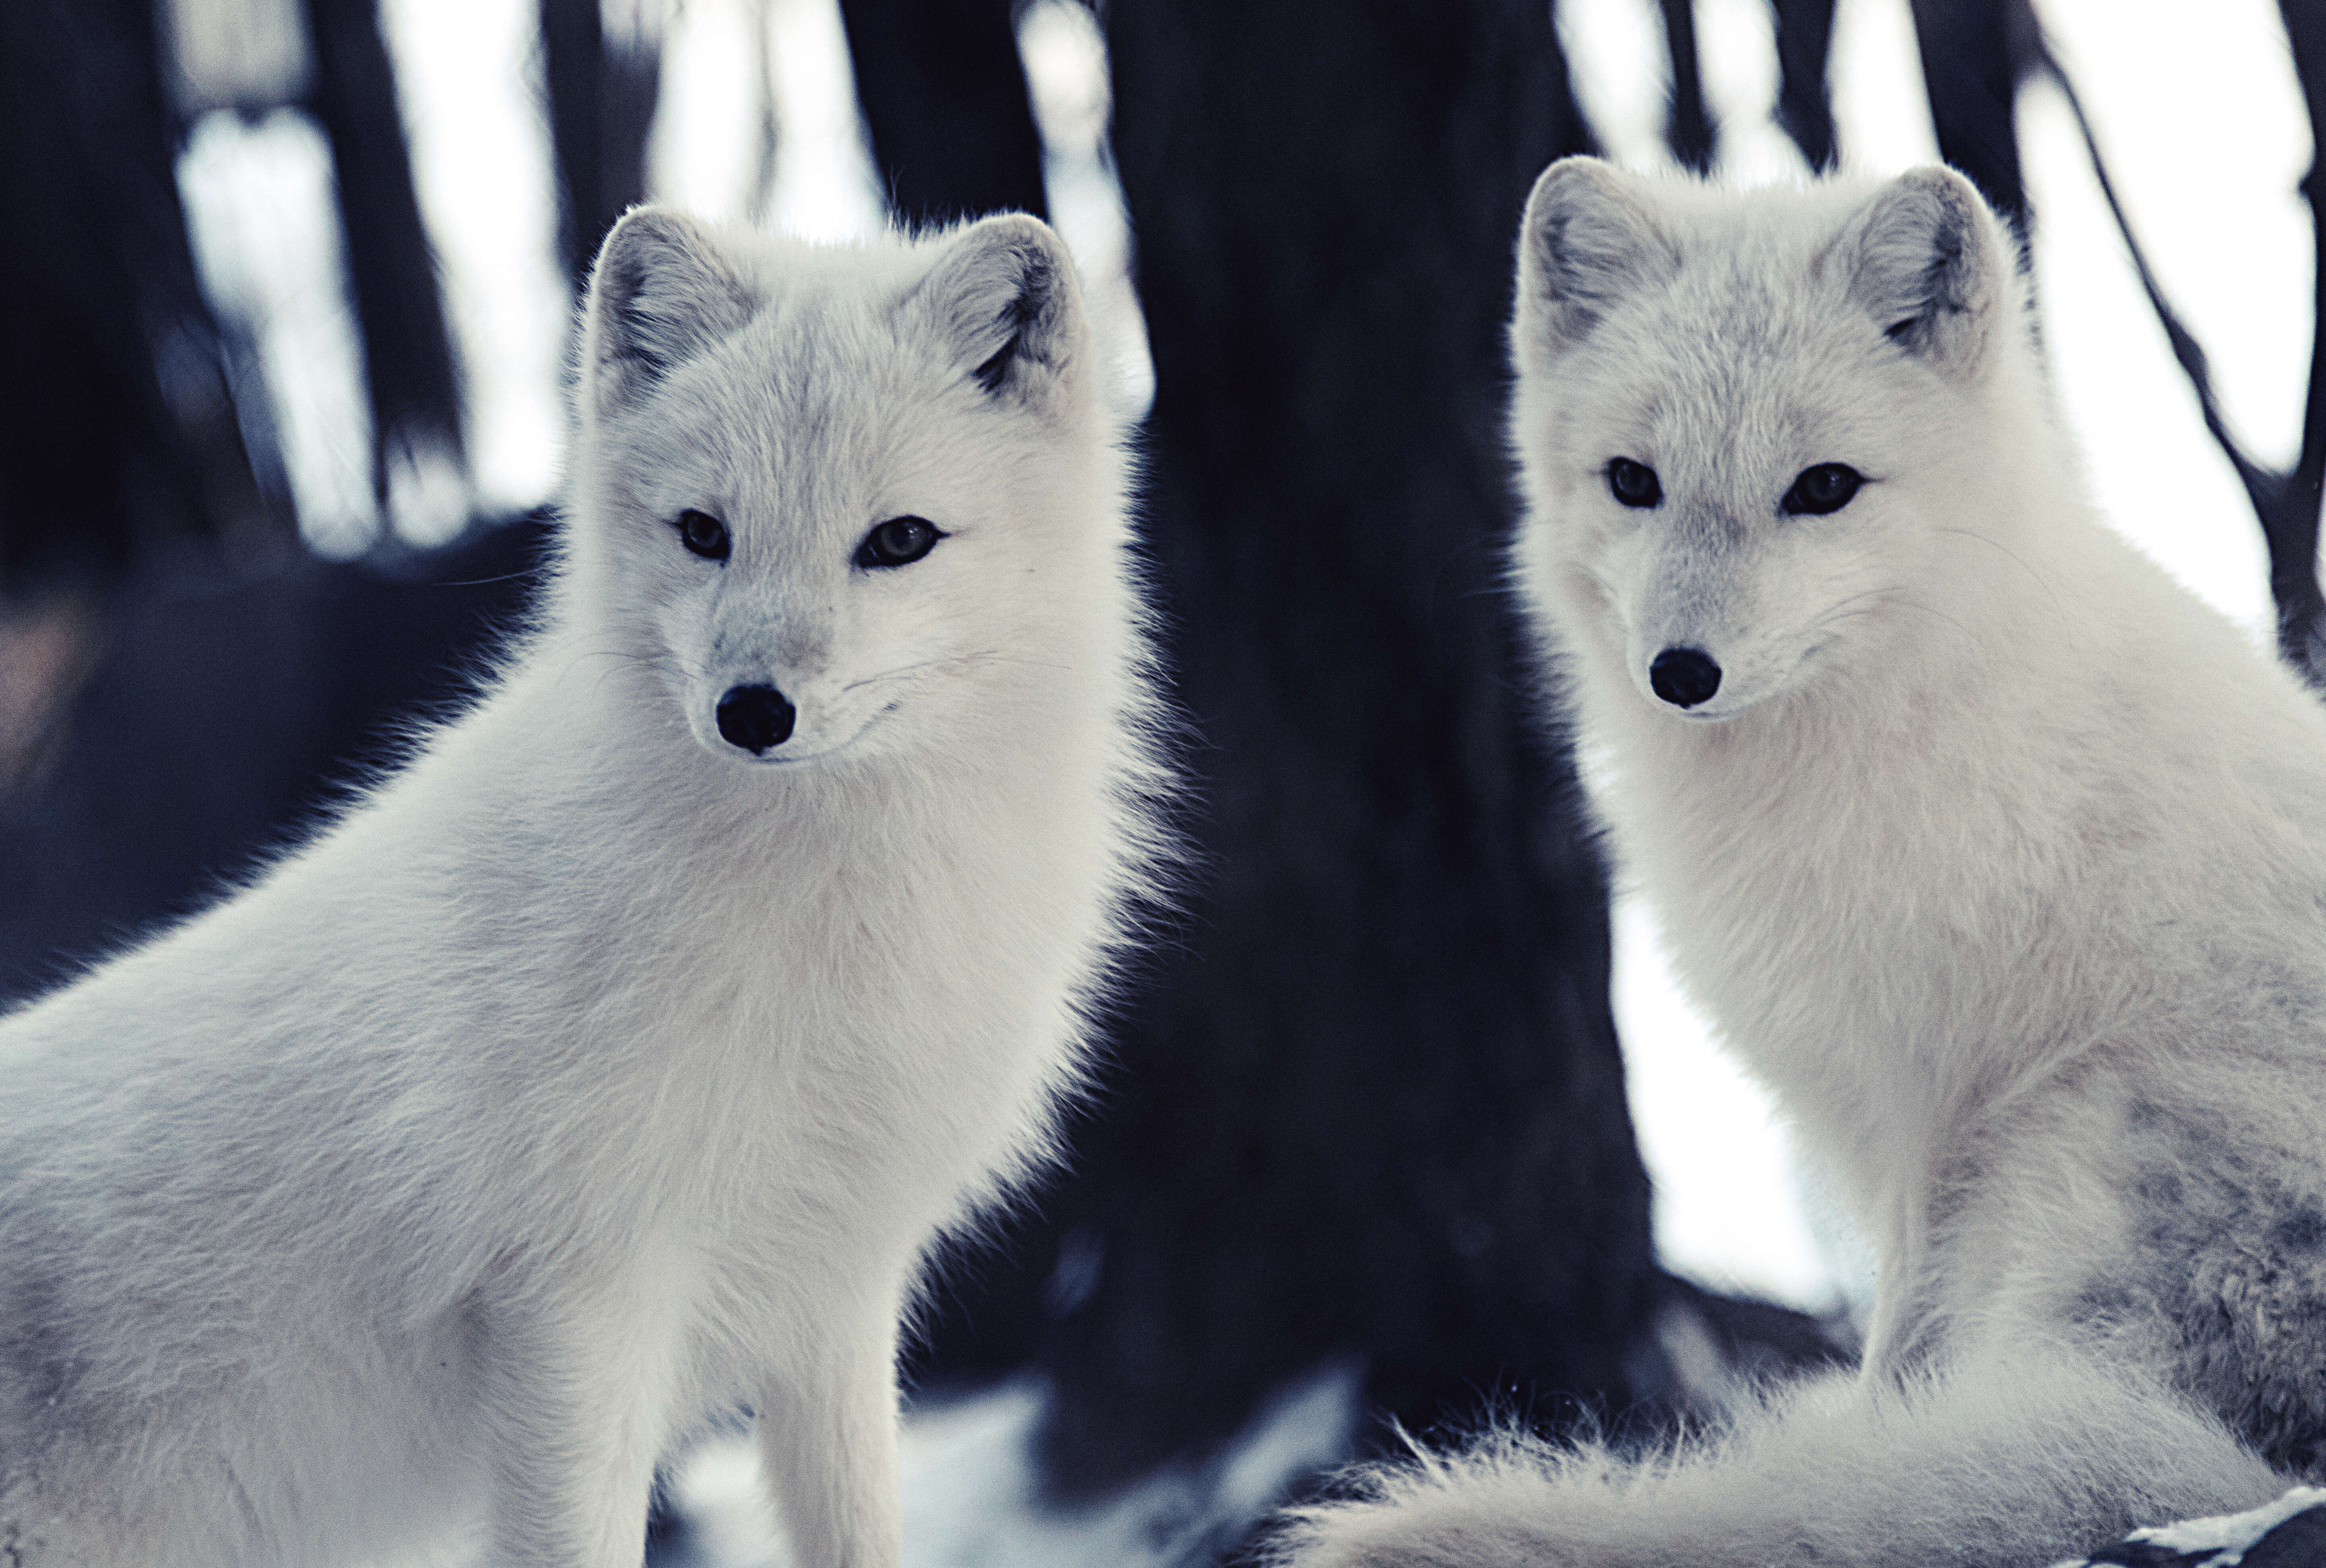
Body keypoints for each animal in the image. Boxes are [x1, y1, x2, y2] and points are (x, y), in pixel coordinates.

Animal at [0, 207, 1163, 1563]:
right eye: (703, 532)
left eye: (899, 541)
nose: (752, 711)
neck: (826, 918)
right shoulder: (581, 1299)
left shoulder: (831, 1297)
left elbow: (861, 1531)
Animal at [1274, 158, 2326, 1563]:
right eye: (1631, 480)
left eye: (1822, 487)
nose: (1679, 673)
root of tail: (2258, 1453)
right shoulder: (1885, 1105)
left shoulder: (1930, 1099)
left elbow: (1896, 1346)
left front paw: (1875, 1430)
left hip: (2074, 1134)